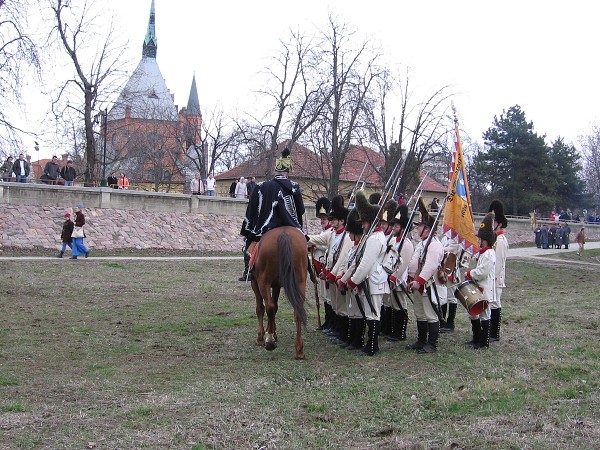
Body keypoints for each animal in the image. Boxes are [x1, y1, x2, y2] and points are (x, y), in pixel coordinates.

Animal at [251, 227, 310, 360]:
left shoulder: (255, 282)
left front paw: (261, 337)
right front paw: (273, 332)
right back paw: (299, 349)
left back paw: (269, 342)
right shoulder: (277, 285)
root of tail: (284, 234)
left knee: (269, 307)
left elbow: (260, 308)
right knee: (297, 310)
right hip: (300, 281)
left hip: (263, 282)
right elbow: (276, 307)